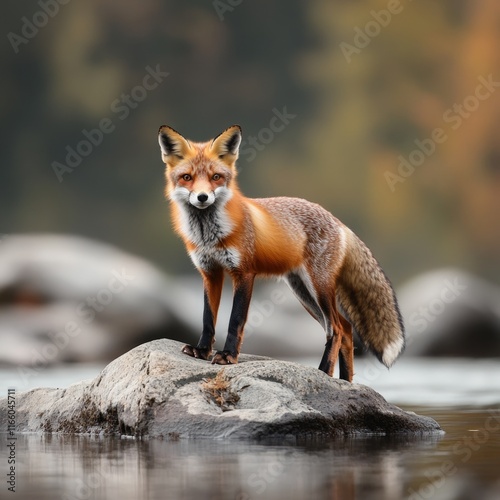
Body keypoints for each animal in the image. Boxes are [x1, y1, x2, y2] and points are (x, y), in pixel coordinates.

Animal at [158, 124, 404, 378]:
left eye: (216, 177)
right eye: (187, 178)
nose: (202, 197)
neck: (209, 235)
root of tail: (338, 221)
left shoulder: (244, 273)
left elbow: (235, 321)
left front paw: (228, 356)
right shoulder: (210, 273)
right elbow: (208, 319)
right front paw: (202, 350)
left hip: (318, 288)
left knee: (335, 328)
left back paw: (323, 372)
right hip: (303, 293)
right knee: (345, 329)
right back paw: (344, 382)